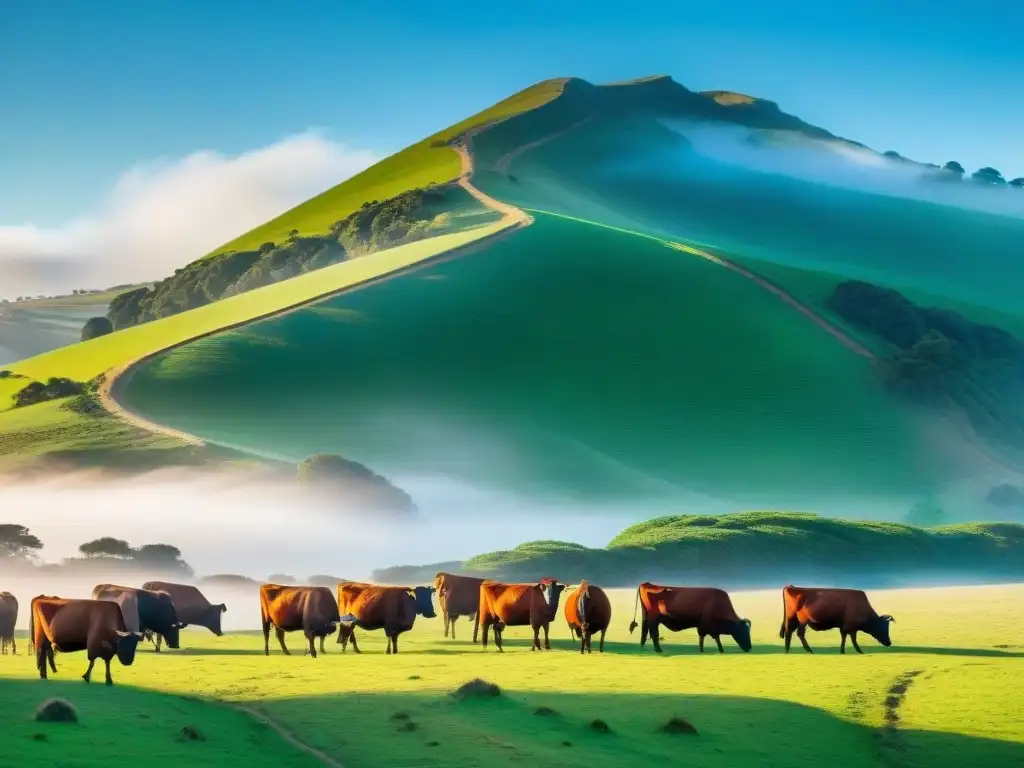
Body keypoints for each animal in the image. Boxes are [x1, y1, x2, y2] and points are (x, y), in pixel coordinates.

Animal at [622, 581, 753, 655]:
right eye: (742, 631)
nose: (750, 647)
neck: (718, 604)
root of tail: (646, 584)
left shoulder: (706, 626)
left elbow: (711, 638)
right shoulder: (706, 625)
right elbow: (710, 637)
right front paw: (708, 650)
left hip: (647, 617)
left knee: (645, 631)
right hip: (654, 619)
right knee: (654, 633)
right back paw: (658, 649)